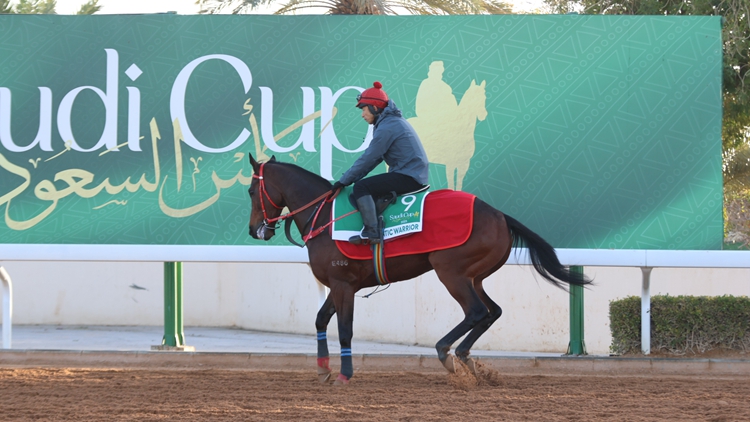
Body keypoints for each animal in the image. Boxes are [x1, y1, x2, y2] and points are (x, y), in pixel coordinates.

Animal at [247, 154, 592, 386]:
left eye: (251, 191)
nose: (254, 229)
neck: (324, 216)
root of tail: (499, 215)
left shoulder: (343, 284)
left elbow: (344, 329)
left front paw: (345, 374)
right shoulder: (340, 284)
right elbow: (320, 319)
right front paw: (323, 369)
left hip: (451, 272)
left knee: (476, 311)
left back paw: (445, 352)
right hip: (475, 276)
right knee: (492, 311)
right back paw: (465, 358)